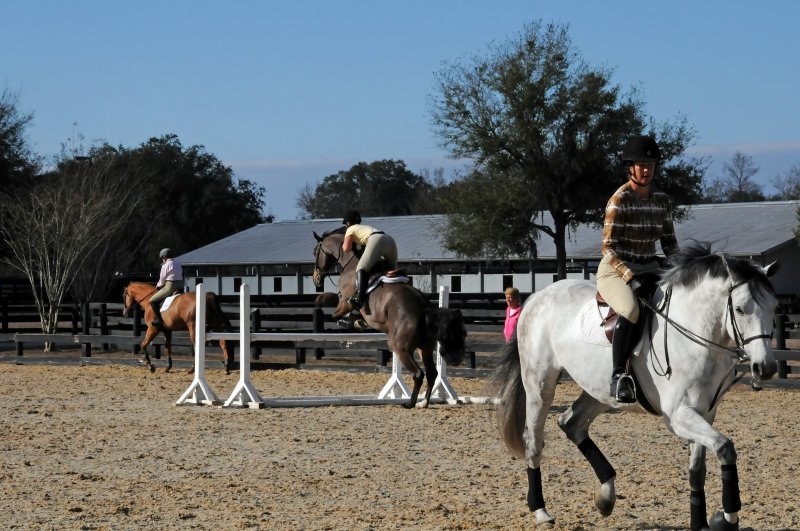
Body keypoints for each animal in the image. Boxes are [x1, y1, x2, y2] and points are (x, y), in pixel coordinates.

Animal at [310, 227, 466, 410]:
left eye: (315, 252)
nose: (316, 278)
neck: (350, 261)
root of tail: (424, 308)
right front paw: (358, 321)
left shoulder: (345, 302)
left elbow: (337, 313)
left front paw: (350, 321)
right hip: (424, 348)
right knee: (432, 373)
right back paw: (423, 403)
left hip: (401, 347)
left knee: (418, 373)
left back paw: (409, 403)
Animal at [490, 242, 780, 531]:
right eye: (740, 309)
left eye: (774, 307)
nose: (765, 368)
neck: (695, 332)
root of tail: (537, 297)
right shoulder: (679, 416)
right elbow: (725, 448)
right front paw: (728, 516)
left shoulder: (704, 412)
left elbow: (698, 472)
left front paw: (701, 523)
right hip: (540, 385)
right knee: (533, 441)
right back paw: (540, 510)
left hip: (600, 392)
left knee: (571, 423)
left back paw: (606, 497)